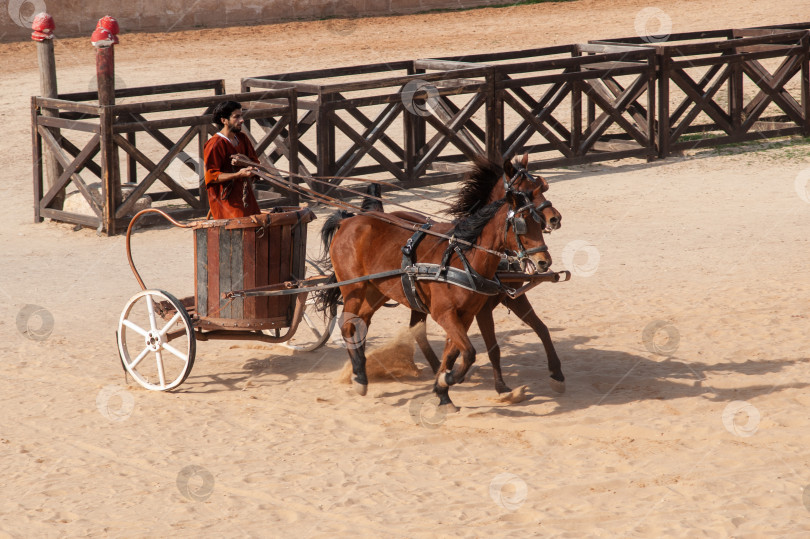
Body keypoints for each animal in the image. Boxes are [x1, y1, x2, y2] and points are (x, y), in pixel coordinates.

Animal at [316, 173, 548, 410]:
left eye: (539, 222)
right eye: (522, 223)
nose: (544, 261)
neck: (463, 259)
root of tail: (347, 221)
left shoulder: (466, 315)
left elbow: (453, 352)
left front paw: (442, 390)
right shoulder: (444, 313)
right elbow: (468, 352)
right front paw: (447, 379)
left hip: (376, 291)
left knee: (360, 323)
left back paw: (361, 370)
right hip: (353, 287)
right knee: (347, 325)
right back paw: (360, 378)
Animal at [370, 155, 564, 396]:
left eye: (541, 186)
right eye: (525, 191)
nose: (555, 218)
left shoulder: (513, 298)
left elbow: (542, 329)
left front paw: (556, 373)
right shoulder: (481, 309)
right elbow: (493, 347)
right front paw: (500, 387)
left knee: (418, 331)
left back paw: (438, 369)